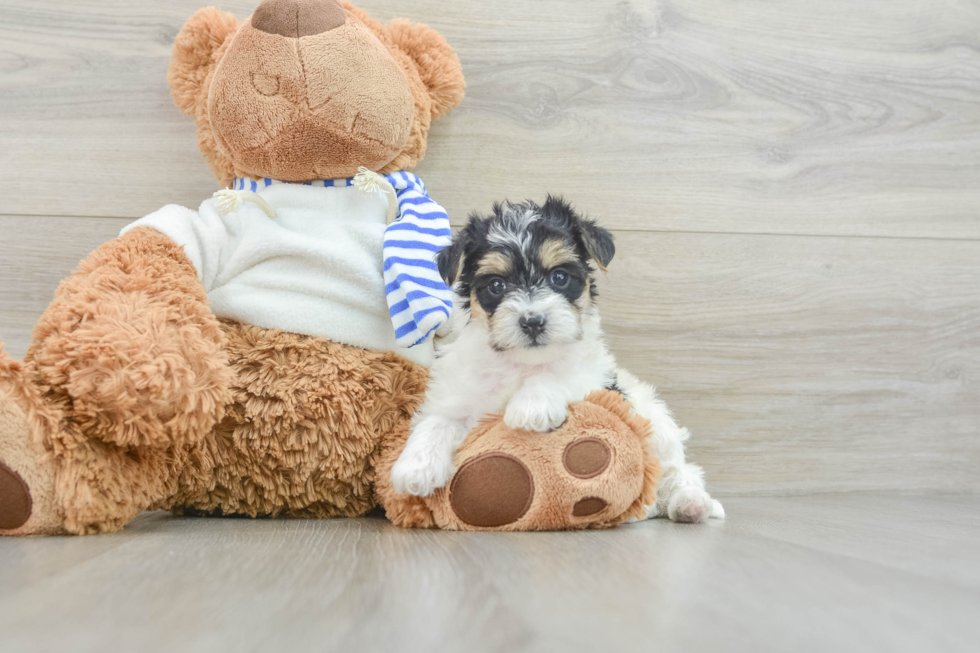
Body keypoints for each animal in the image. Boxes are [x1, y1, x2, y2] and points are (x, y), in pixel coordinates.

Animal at [392, 196, 728, 524]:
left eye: (559, 277)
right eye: (497, 285)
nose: (532, 321)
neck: (522, 362)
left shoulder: (595, 377)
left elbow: (558, 373)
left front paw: (531, 406)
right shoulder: (460, 392)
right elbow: (438, 419)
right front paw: (415, 466)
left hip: (657, 425)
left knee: (677, 471)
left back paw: (691, 503)